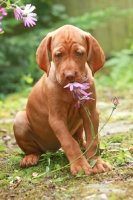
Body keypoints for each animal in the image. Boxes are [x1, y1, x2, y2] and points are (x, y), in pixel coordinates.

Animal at [13, 24, 111, 175]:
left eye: (79, 53)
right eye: (58, 55)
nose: (70, 76)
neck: (71, 89)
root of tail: (51, 150)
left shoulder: (90, 112)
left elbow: (92, 140)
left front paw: (96, 162)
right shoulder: (57, 118)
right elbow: (69, 142)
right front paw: (80, 165)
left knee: (80, 139)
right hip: (19, 120)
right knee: (34, 150)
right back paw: (30, 157)